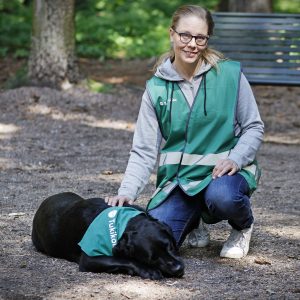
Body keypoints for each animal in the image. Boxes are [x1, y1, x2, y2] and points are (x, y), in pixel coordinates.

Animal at [31, 192, 184, 278]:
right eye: (152, 259)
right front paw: (147, 270)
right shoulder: (89, 259)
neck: (123, 223)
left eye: (170, 247)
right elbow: (123, 260)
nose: (177, 269)